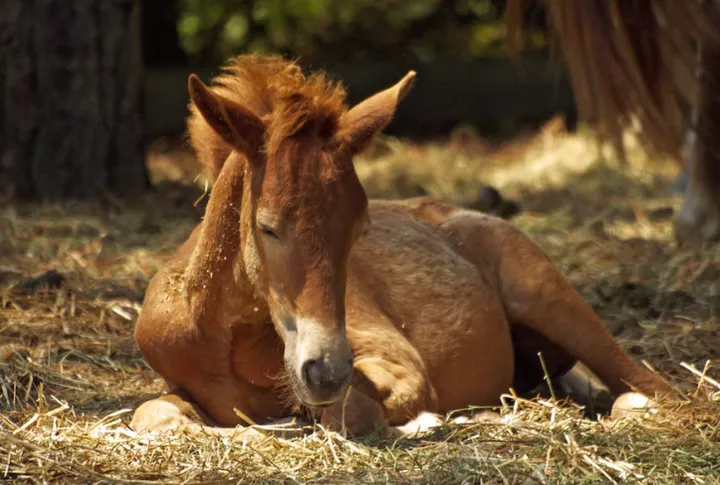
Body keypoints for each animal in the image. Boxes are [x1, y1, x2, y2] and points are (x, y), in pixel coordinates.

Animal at [130, 54, 676, 439]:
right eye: (267, 227)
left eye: (360, 227)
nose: (326, 371)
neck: (227, 337)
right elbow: (152, 415)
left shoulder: (397, 364)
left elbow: (352, 413)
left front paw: (424, 421)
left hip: (552, 301)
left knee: (652, 388)